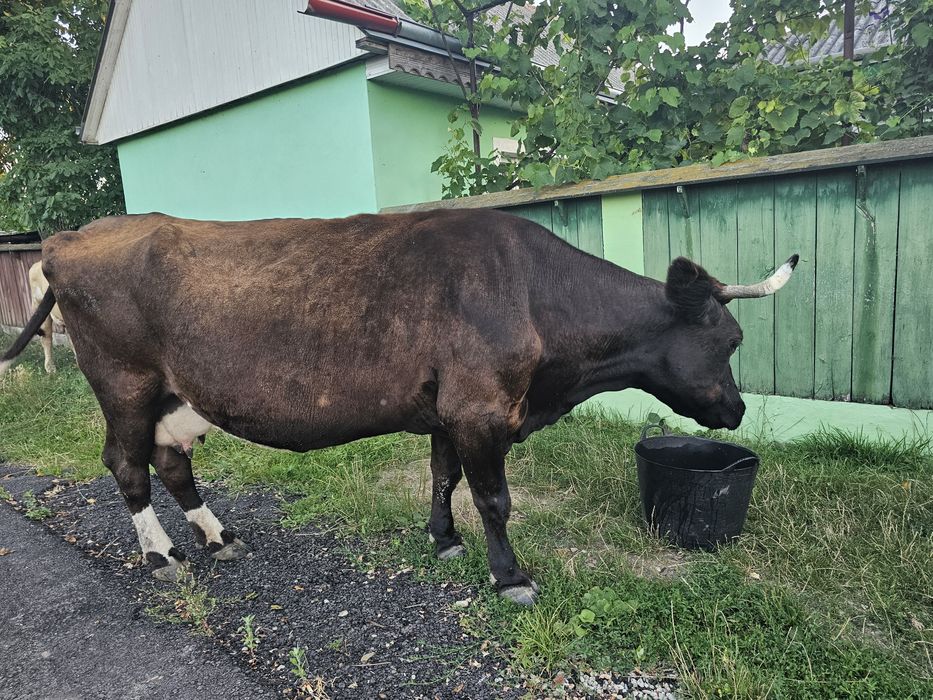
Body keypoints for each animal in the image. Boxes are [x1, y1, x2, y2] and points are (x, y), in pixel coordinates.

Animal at [0, 211, 798, 605]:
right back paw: (162, 555)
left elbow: (444, 479)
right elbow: (494, 498)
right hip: (124, 383)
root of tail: (72, 236)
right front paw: (511, 578)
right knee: (125, 464)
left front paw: (443, 539)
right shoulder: (481, 409)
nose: (736, 410)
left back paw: (217, 536)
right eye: (730, 338)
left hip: (177, 395)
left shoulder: (449, 411)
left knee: (170, 462)